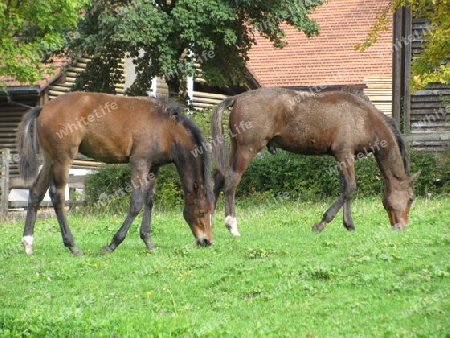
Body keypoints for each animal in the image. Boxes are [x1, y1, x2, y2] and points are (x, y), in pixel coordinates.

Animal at [16, 91, 214, 255]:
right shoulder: (139, 162)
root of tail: (43, 108)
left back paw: (27, 243)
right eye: (201, 212)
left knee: (36, 192)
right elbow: (136, 202)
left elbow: (149, 200)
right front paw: (112, 245)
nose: (206, 241)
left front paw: (148, 242)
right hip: (62, 160)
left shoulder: (154, 166)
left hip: (50, 159)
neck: (166, 128)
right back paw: (72, 246)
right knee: (57, 196)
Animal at [213, 86, 420, 236]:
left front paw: (349, 224)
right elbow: (350, 187)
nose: (401, 227)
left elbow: (345, 189)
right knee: (231, 181)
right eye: (411, 198)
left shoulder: (342, 157)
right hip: (247, 150)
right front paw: (321, 224)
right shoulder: (344, 153)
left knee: (218, 179)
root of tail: (238, 98)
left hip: (235, 149)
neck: (364, 117)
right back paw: (232, 226)